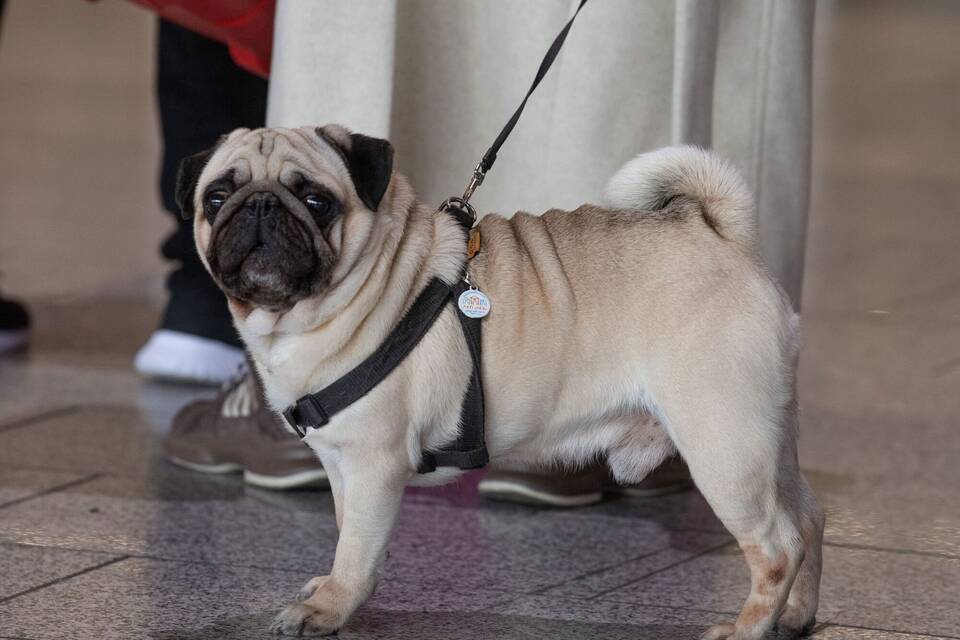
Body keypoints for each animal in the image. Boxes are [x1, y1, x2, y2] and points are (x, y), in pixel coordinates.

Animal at [178, 126, 824, 640]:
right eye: (217, 197)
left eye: (316, 200)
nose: (260, 207)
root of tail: (720, 235)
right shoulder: (342, 466)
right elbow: (352, 537)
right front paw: (339, 592)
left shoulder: (372, 464)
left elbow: (356, 546)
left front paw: (329, 611)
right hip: (767, 442)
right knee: (808, 523)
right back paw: (795, 618)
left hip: (723, 447)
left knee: (776, 547)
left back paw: (746, 629)